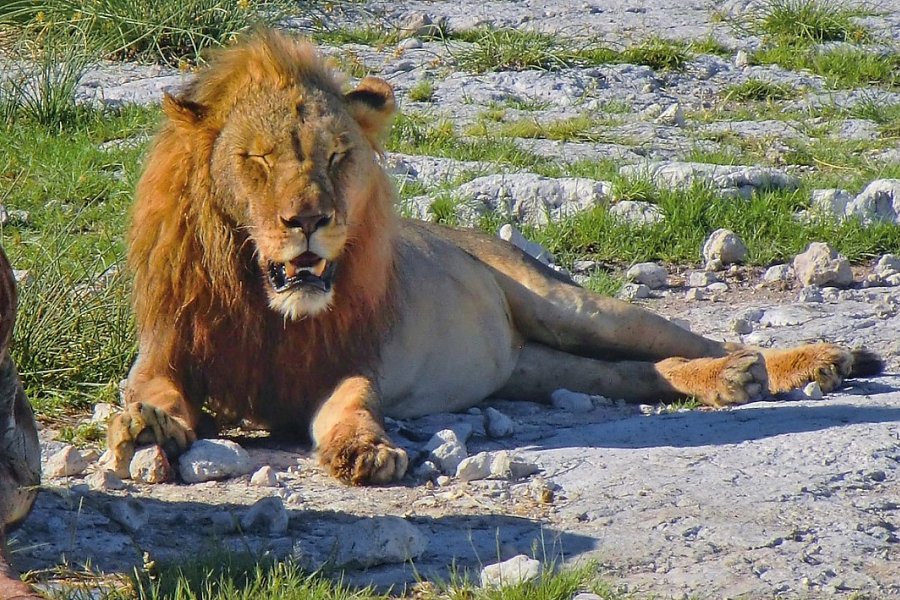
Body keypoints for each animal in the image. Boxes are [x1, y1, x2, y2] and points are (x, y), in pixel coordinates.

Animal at [107, 30, 882, 486]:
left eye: (337, 157)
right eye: (258, 160)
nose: (310, 221)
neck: (265, 305)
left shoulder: (345, 361)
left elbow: (353, 406)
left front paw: (365, 451)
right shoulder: (166, 350)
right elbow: (151, 392)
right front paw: (146, 429)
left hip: (571, 306)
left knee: (688, 339)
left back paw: (804, 361)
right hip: (533, 367)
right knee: (638, 373)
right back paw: (732, 381)